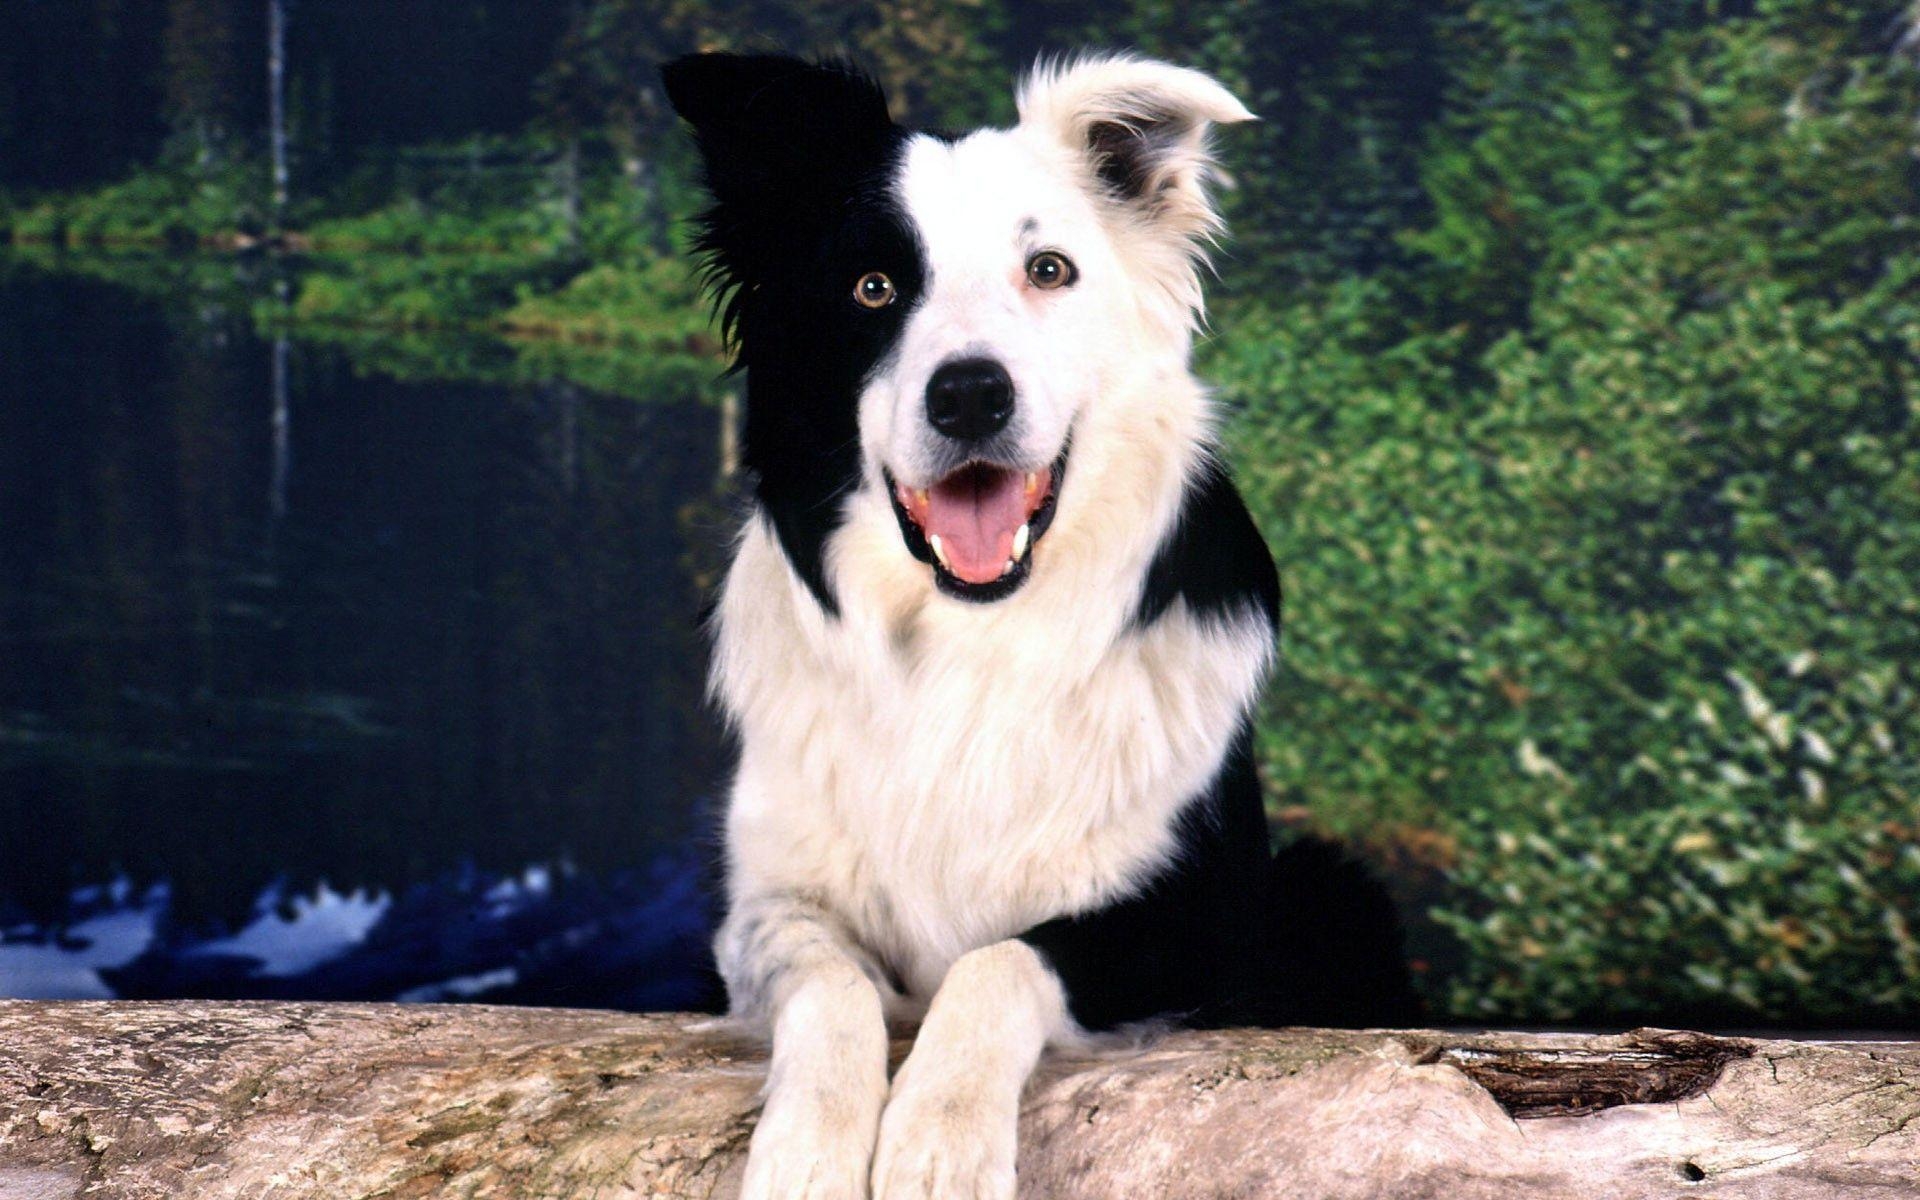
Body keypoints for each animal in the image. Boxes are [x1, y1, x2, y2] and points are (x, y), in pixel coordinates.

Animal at [664, 51, 1413, 1190]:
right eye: (872, 288)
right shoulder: (767, 910)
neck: (971, 639)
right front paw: (809, 1145)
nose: (970, 394)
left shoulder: (1197, 919)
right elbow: (831, 984)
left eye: (1049, 270)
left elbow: (1000, 957)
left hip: (1334, 891)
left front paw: (938, 1140)